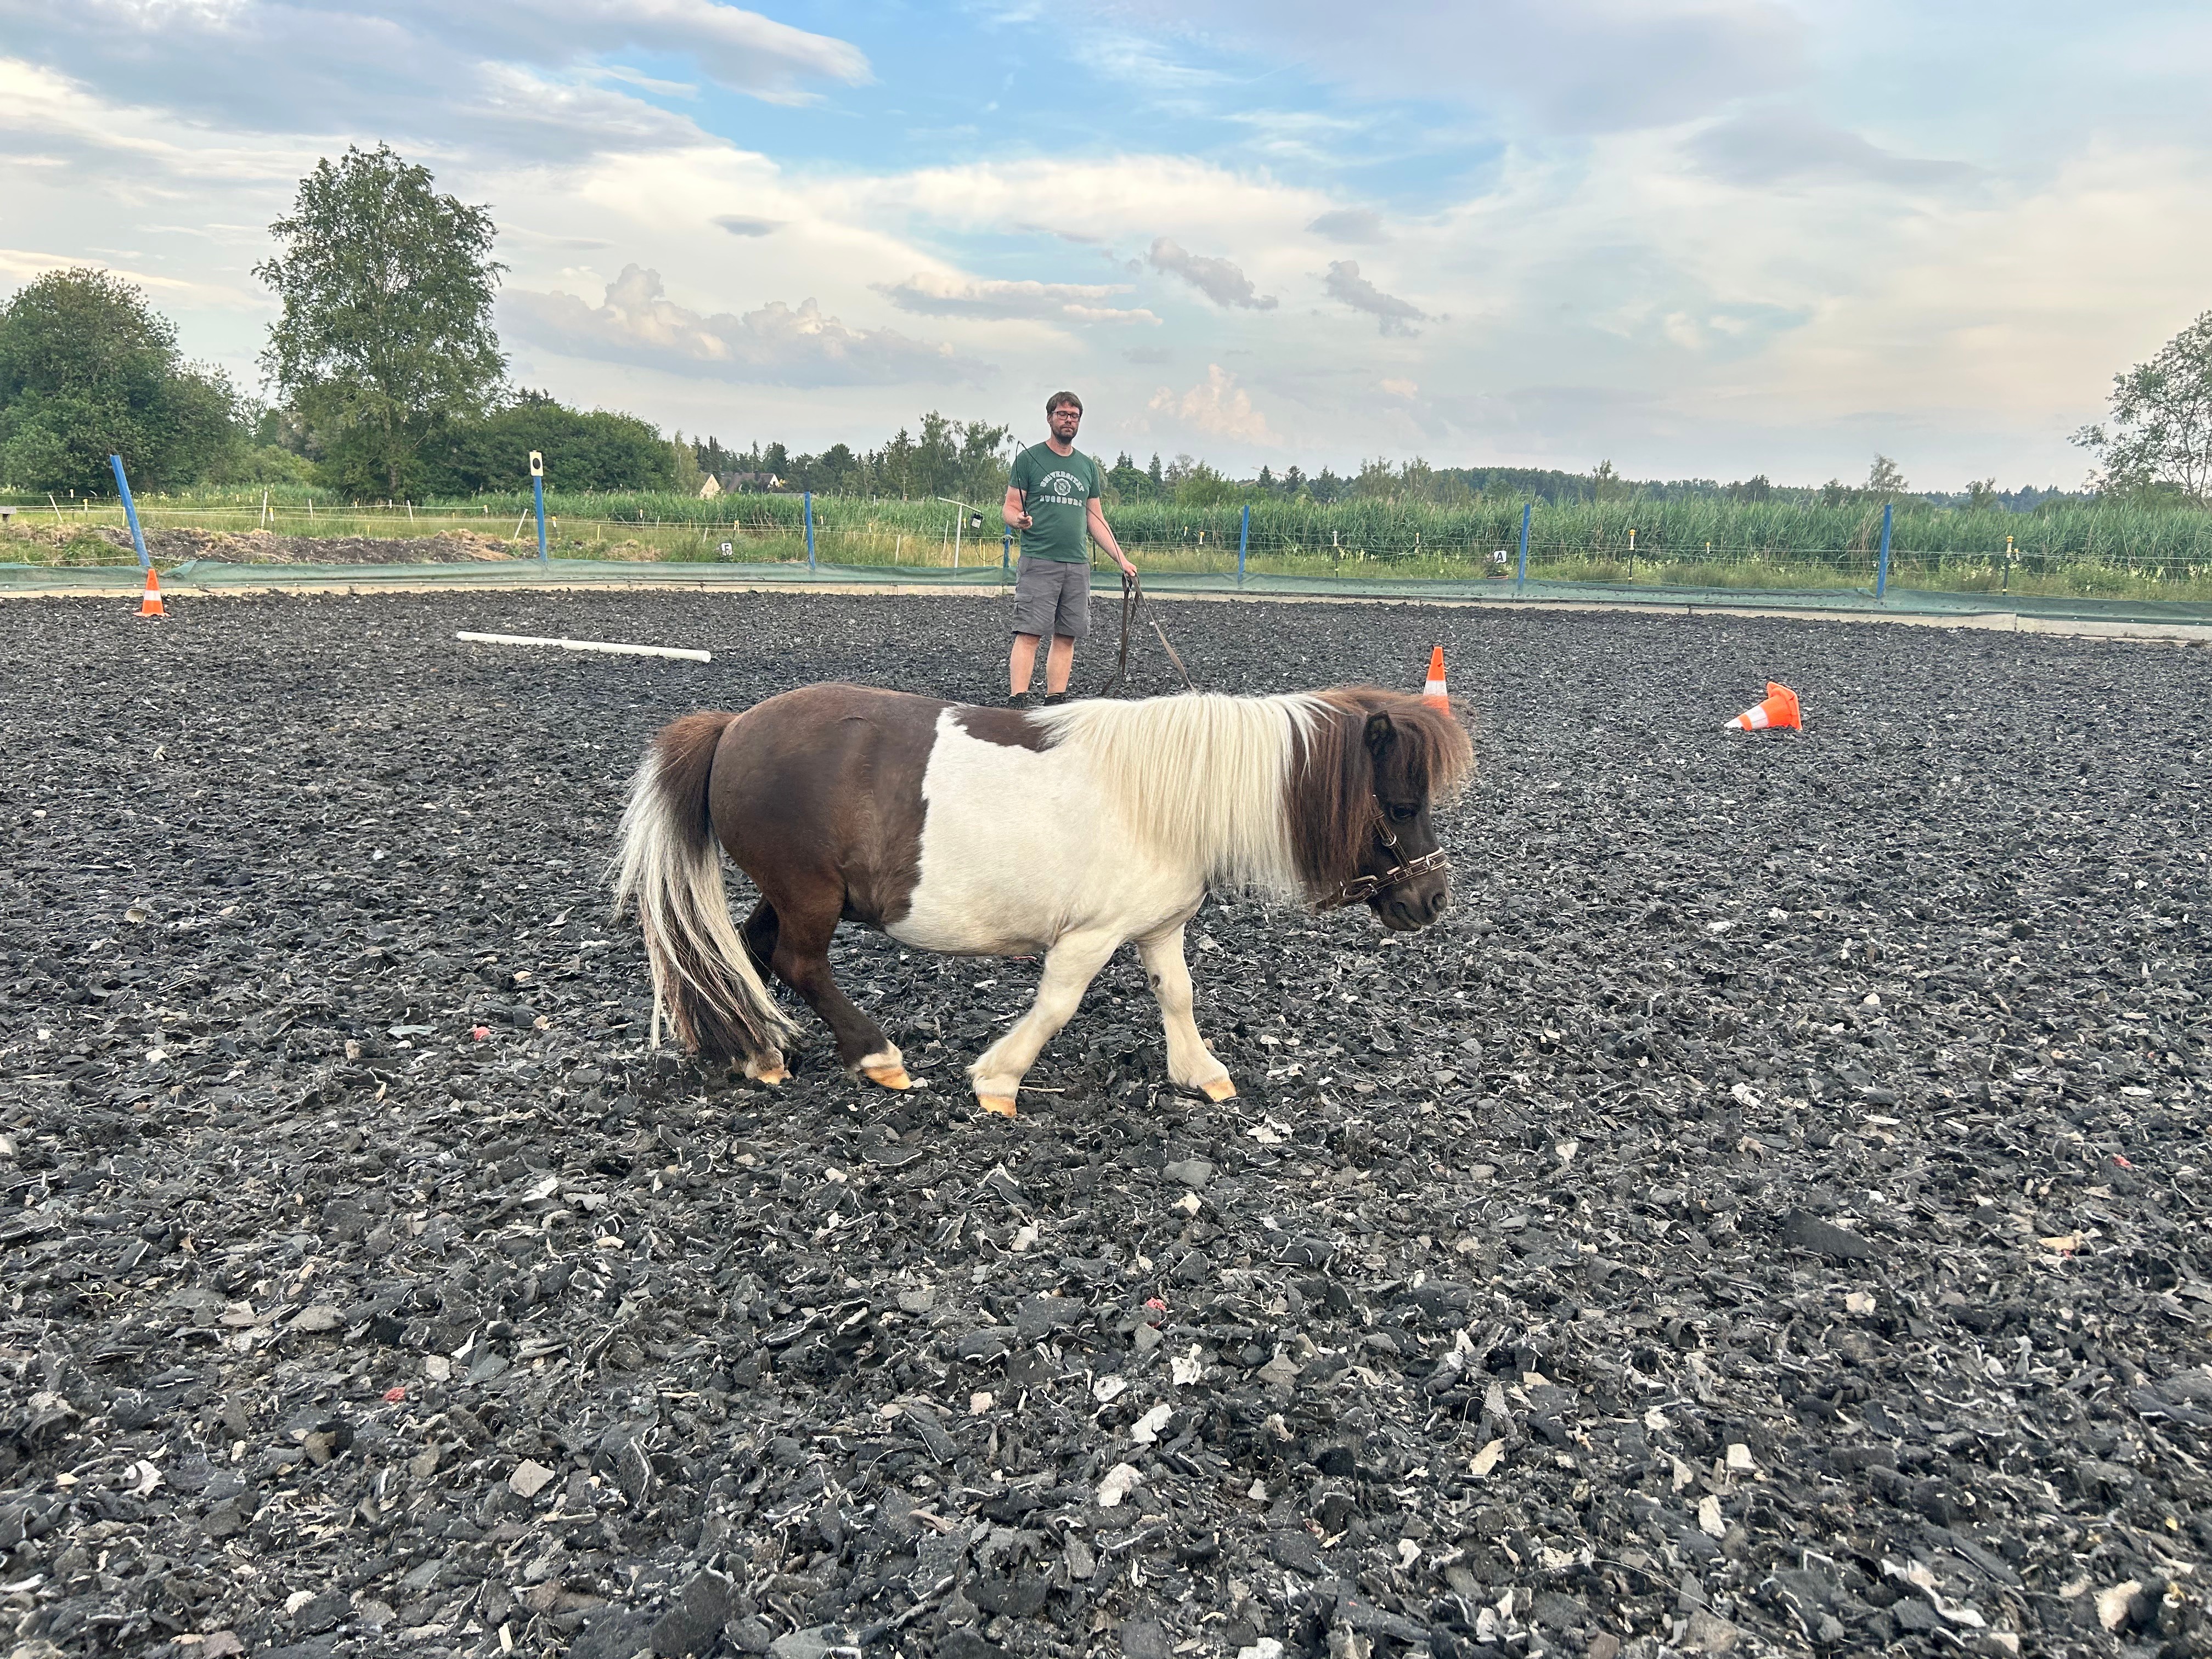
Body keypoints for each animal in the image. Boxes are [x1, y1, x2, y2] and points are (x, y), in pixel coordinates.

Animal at [612, 684, 1472, 1116]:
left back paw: (756, 1051)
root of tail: (733, 728)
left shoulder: (1158, 928)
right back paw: (873, 1055)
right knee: (797, 962)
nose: (1433, 899)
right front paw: (1000, 1078)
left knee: (753, 952)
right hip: (808, 893)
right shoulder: (1090, 936)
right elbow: (1058, 1004)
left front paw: (1199, 1071)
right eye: (1400, 805)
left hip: (791, 892)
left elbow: (1177, 994)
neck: (1166, 794)